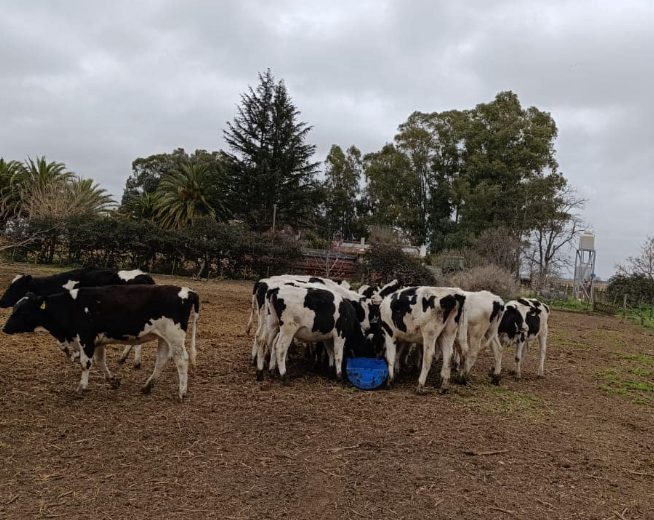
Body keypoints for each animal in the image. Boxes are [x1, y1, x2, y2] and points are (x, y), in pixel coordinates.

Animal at [0, 266, 155, 368]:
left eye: (14, 287)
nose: (1, 301)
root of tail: (144, 275)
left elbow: (62, 343)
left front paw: (72, 353)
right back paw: (124, 358)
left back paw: (135, 362)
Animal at [1, 284, 200, 402]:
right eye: (15, 308)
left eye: (22, 311)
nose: (4, 328)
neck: (71, 306)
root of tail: (187, 291)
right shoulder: (97, 340)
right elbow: (100, 361)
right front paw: (112, 381)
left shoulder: (85, 338)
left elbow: (85, 363)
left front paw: (81, 387)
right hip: (163, 337)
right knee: (162, 359)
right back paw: (147, 386)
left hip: (174, 335)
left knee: (181, 359)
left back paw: (181, 392)